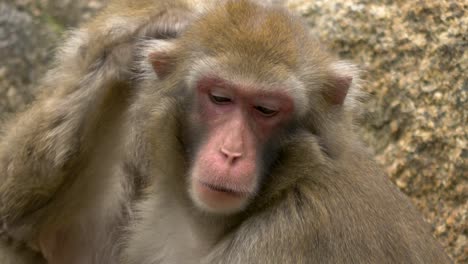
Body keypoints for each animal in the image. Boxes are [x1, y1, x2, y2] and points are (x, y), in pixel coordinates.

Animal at [0, 0, 452, 262]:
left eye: (266, 109)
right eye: (220, 98)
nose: (231, 153)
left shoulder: (290, 239)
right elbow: (51, 240)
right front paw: (147, 28)